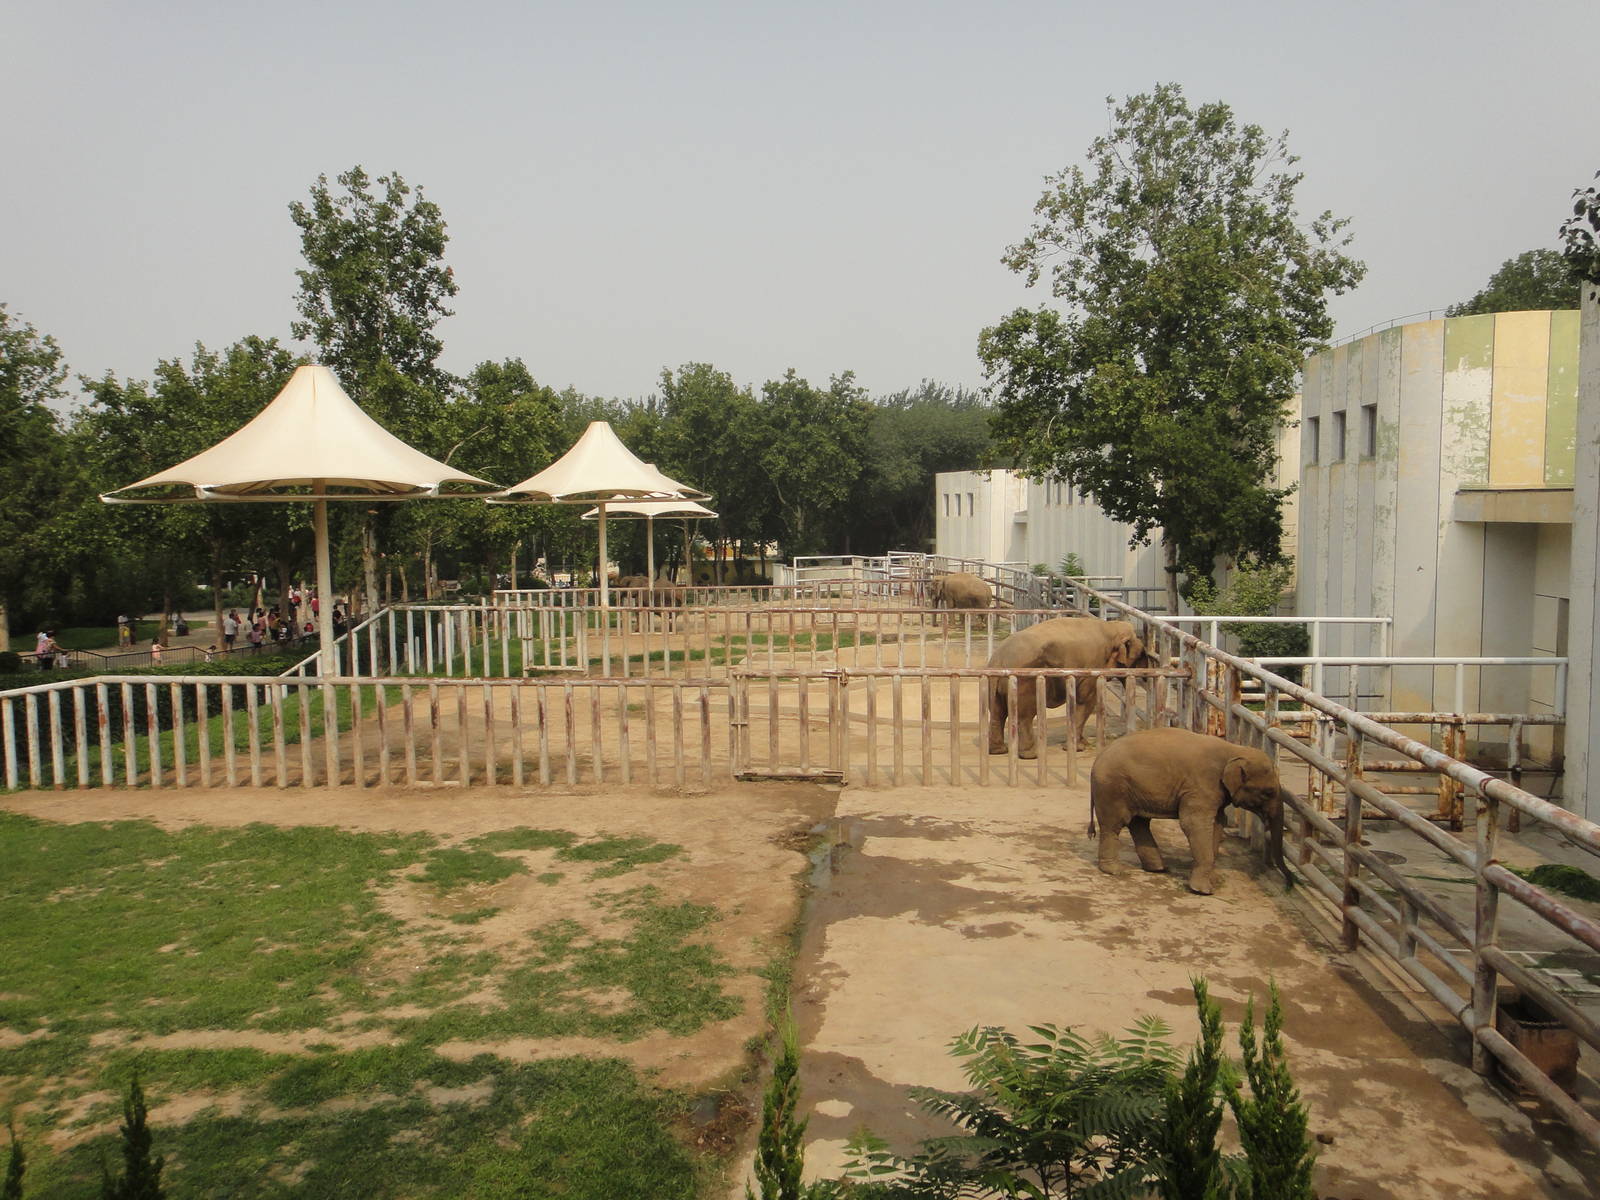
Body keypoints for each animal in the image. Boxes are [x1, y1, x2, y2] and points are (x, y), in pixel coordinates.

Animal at [986, 617, 1153, 757]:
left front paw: (1082, 743)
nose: (1145, 679)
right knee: (1024, 716)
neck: (1111, 627)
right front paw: (1078, 748)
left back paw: (998, 751)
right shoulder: (1093, 666)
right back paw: (1031, 755)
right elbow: (1086, 700)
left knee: (997, 713)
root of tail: (999, 659)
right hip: (1025, 680)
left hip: (994, 683)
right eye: (1140, 655)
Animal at [1087, 727, 1294, 894]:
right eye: (1268, 792)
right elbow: (1194, 823)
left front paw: (1212, 880)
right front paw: (1203, 890)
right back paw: (1114, 870)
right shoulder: (1201, 786)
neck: (1234, 750)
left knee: (1139, 823)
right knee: (1115, 824)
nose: (1290, 883)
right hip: (1112, 787)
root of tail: (1098, 757)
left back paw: (1158, 869)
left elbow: (1217, 823)